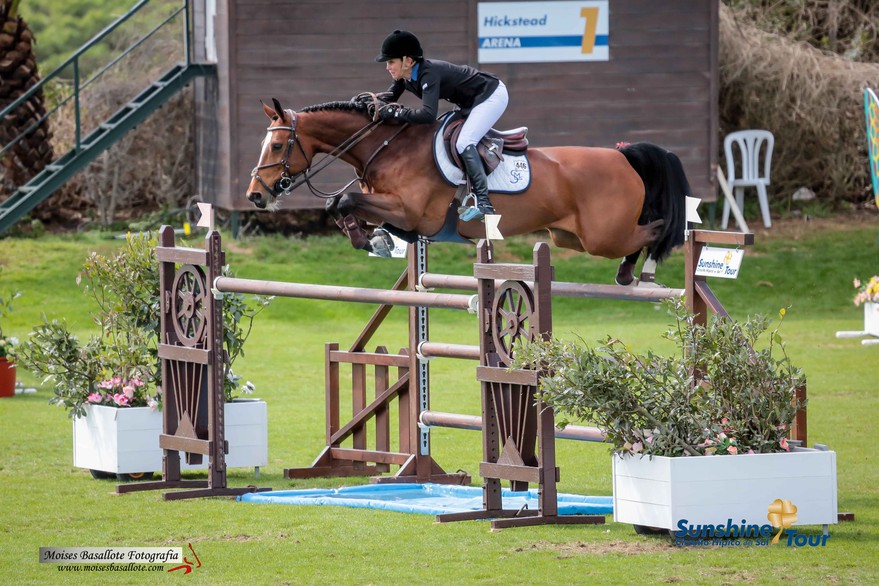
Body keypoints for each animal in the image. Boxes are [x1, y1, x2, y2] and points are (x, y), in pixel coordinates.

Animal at [244, 96, 692, 282]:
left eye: (278, 146)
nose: (255, 196)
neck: (389, 148)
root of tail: (623, 156)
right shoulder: (391, 208)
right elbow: (341, 203)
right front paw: (370, 238)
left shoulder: (412, 212)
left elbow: (347, 199)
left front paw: (373, 239)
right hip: (570, 237)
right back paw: (628, 274)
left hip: (603, 236)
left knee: (656, 229)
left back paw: (643, 270)